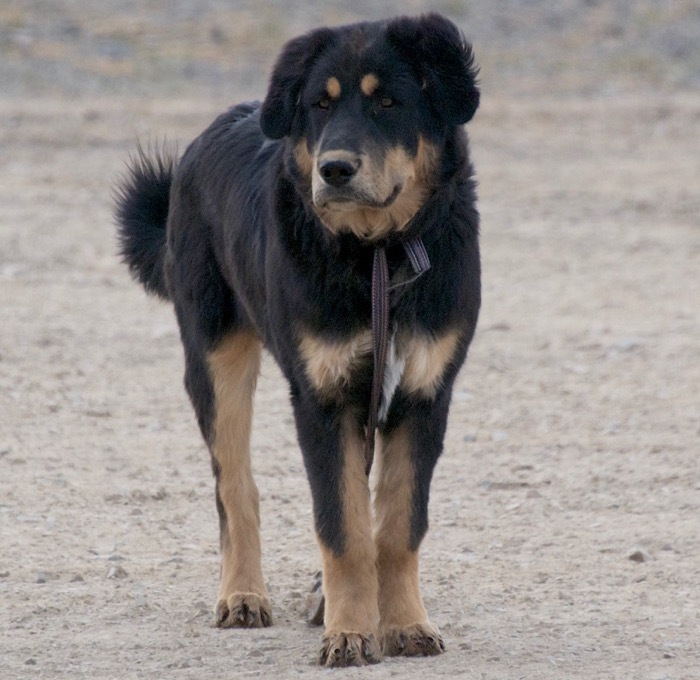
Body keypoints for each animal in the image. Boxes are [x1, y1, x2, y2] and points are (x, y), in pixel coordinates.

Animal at [117, 11, 482, 668]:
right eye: (319, 104)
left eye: (389, 101)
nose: (333, 169)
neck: (376, 255)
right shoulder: (322, 396)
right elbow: (343, 529)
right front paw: (351, 633)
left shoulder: (422, 394)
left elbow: (395, 528)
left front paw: (405, 624)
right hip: (215, 359)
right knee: (235, 487)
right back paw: (242, 595)